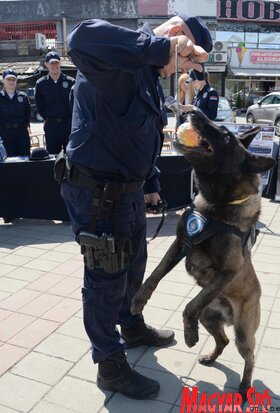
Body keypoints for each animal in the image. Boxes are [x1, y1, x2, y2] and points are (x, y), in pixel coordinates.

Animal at [131, 107, 276, 400]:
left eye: (226, 136)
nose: (193, 110)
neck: (215, 205)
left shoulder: (229, 271)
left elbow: (189, 306)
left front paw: (189, 335)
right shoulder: (178, 245)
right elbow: (153, 276)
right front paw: (139, 300)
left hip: (244, 332)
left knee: (249, 355)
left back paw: (245, 387)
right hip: (210, 318)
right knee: (223, 339)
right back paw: (210, 356)